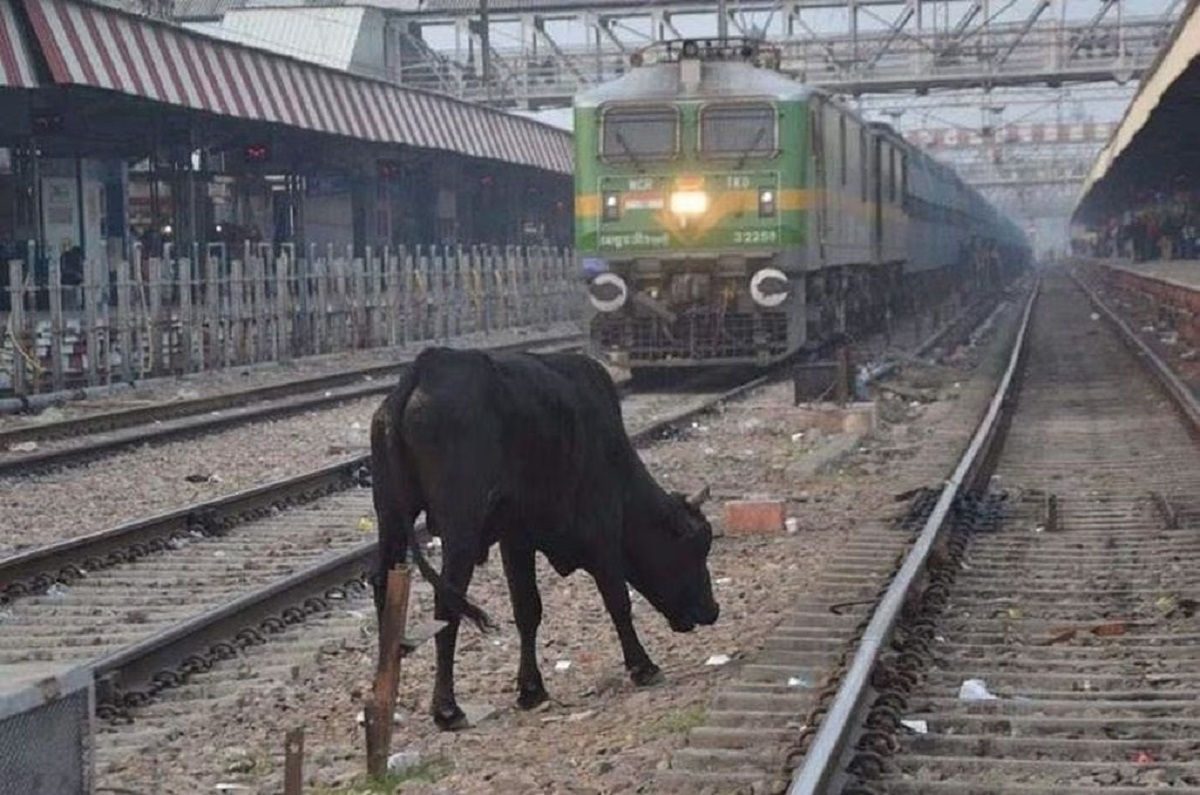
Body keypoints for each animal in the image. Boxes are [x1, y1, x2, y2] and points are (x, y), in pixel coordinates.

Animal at [369, 345, 715, 730]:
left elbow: (527, 610)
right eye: (697, 547)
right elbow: (618, 601)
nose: (712, 610)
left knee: (384, 587)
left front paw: (531, 689)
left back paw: (387, 696)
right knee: (447, 605)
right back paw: (446, 708)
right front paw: (643, 665)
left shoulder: (516, 540)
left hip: (390, 515)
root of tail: (426, 367)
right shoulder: (602, 533)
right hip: (460, 530)